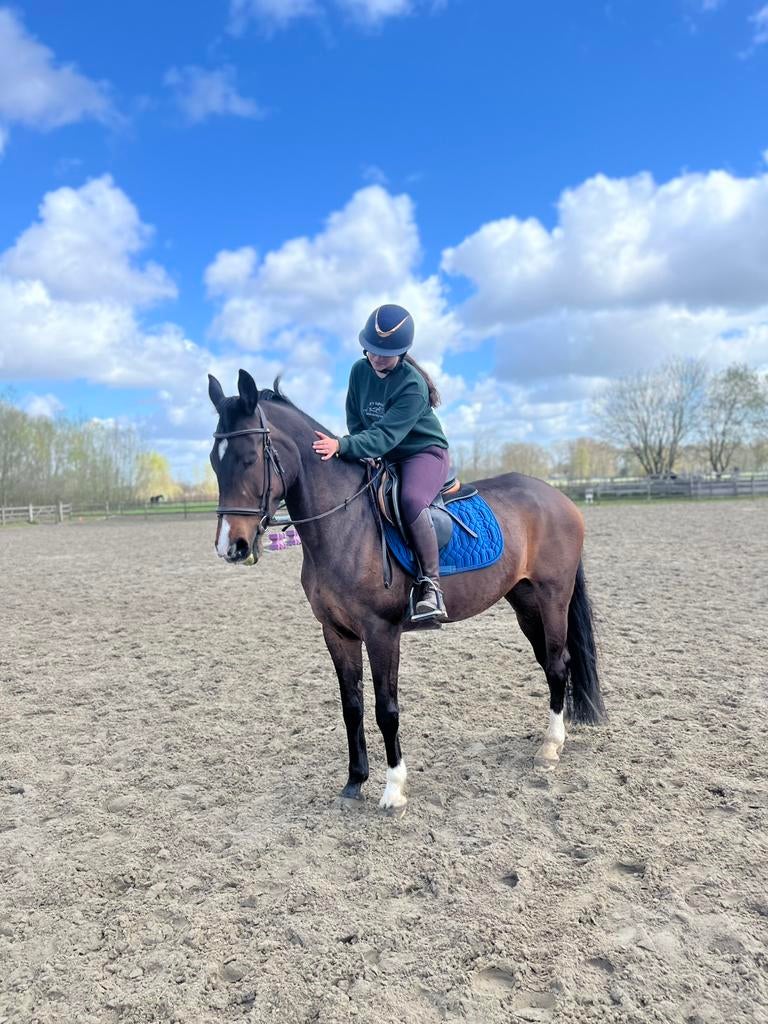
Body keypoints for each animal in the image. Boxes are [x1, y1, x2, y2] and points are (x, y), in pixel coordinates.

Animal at [208, 369, 605, 811]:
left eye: (249, 458)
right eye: (214, 461)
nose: (231, 546)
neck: (344, 524)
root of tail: (557, 497)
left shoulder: (381, 633)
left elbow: (386, 709)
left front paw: (393, 788)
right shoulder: (337, 633)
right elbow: (351, 706)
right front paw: (354, 782)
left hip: (553, 597)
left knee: (558, 664)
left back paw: (550, 747)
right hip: (525, 602)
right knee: (551, 664)